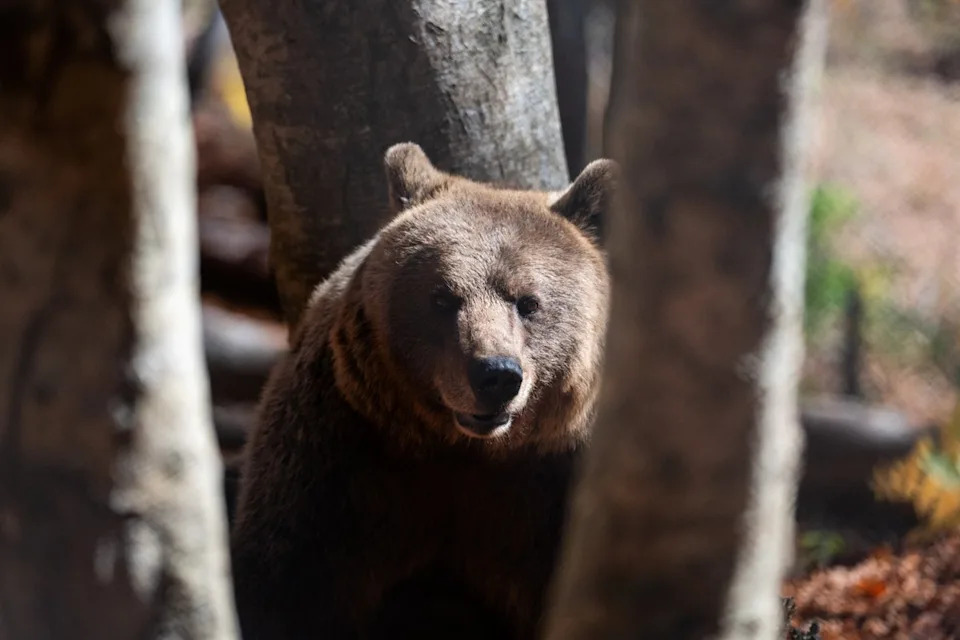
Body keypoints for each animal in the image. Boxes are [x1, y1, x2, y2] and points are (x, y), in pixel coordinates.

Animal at [230, 142, 616, 639]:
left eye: (528, 302)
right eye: (442, 297)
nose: (495, 375)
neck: (464, 450)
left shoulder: (556, 483)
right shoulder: (338, 458)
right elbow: (286, 580)